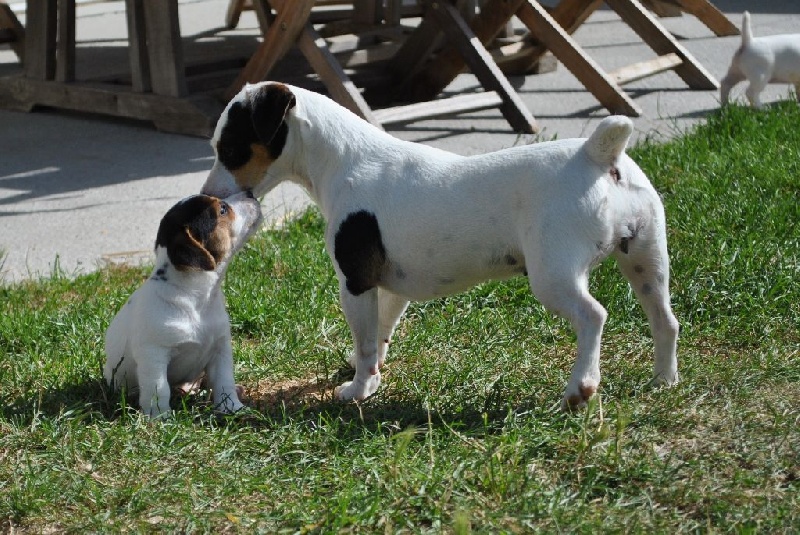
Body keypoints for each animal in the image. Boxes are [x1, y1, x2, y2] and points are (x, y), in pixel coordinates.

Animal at [104, 192, 262, 418]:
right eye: (222, 209)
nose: (250, 193)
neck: (197, 299)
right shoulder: (154, 354)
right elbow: (158, 388)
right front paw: (159, 417)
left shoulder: (221, 348)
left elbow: (225, 382)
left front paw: (231, 407)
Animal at [198, 82, 676, 410]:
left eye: (231, 148)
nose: (211, 198)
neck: (343, 158)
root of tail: (598, 156)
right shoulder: (388, 288)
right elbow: (380, 335)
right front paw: (370, 377)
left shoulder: (355, 282)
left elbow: (366, 341)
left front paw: (357, 390)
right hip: (647, 260)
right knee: (665, 320)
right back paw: (664, 381)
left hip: (554, 276)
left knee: (593, 316)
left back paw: (580, 389)